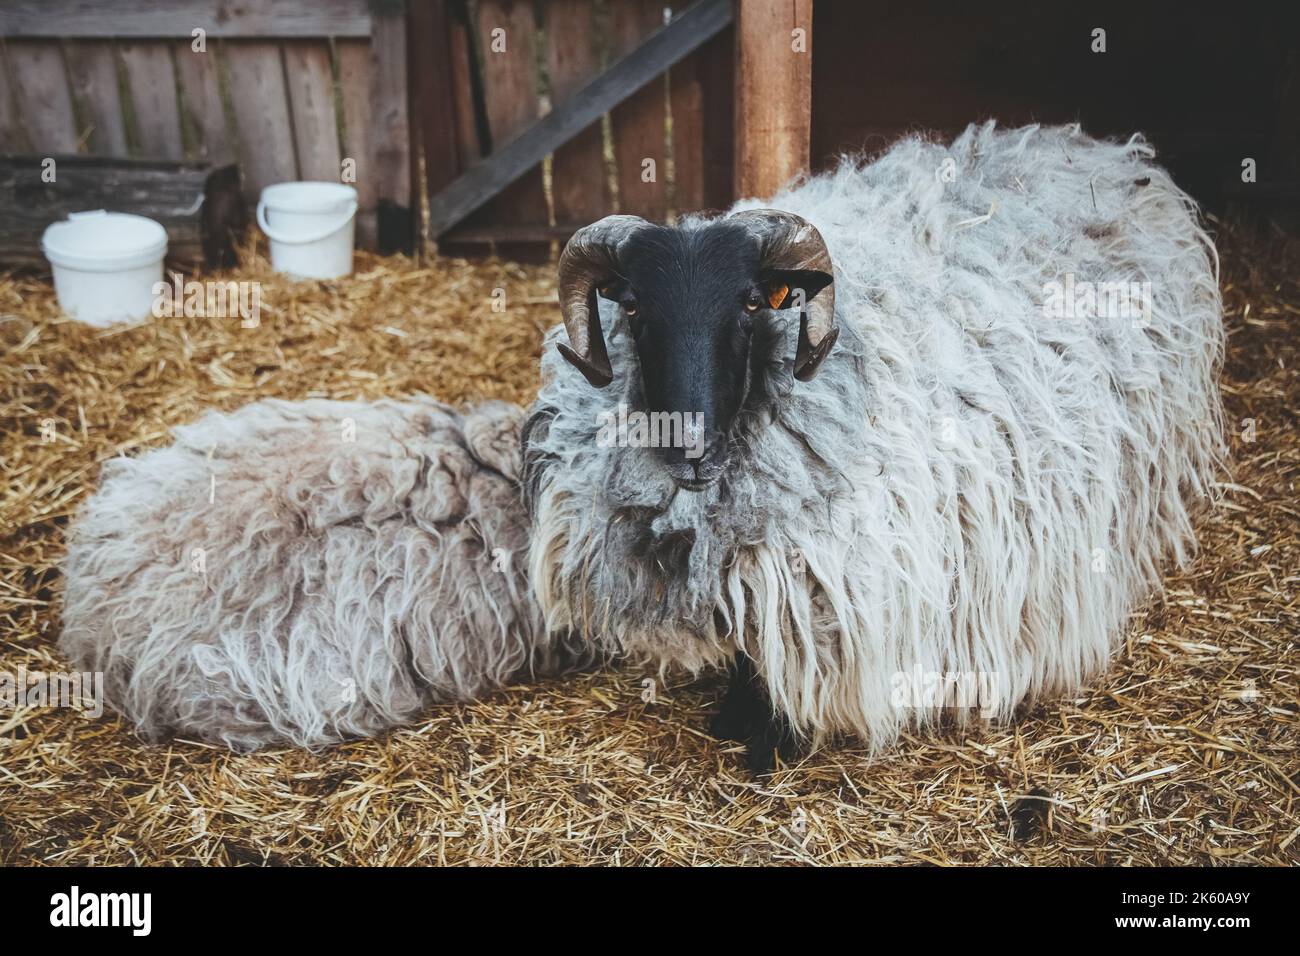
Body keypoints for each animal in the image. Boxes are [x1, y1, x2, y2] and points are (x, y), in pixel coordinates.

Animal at [522, 123, 1222, 775]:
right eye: (633, 309)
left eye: (750, 304)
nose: (688, 444)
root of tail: (1101, 150)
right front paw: (734, 716)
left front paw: (768, 736)